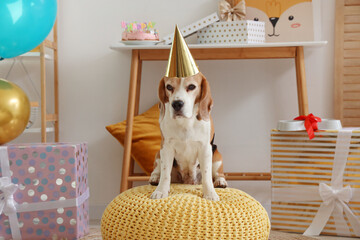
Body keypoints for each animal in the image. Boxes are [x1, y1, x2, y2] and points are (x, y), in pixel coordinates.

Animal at [149, 71, 228, 201]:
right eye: (169, 87)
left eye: (191, 86)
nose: (177, 104)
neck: (185, 121)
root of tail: (188, 181)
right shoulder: (166, 147)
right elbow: (165, 174)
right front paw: (160, 191)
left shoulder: (205, 148)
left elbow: (207, 175)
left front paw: (210, 193)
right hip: (158, 153)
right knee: (158, 170)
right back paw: (155, 178)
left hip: (217, 155)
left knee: (217, 174)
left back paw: (221, 181)